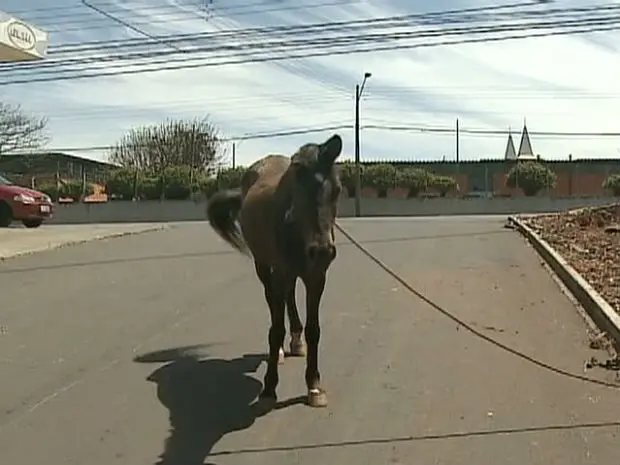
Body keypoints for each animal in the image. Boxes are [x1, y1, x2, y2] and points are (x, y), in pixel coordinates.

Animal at [208, 133, 344, 406]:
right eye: (299, 188)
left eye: (337, 190)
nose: (323, 251)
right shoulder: (279, 271)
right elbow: (276, 327)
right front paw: (269, 387)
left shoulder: (316, 277)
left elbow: (314, 329)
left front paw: (314, 385)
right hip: (264, 266)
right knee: (273, 300)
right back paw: (281, 349)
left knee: (288, 297)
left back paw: (296, 340)